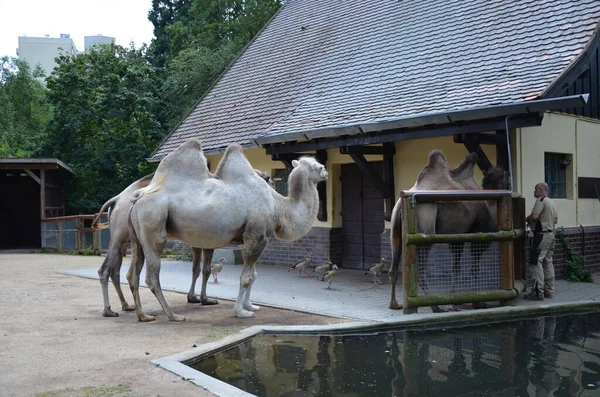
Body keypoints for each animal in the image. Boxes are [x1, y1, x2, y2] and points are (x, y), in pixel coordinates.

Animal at [126, 138, 328, 320]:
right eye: (314, 166)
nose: (325, 170)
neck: (278, 206)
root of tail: (138, 199)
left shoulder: (256, 237)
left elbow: (254, 275)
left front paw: (250, 305)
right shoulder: (255, 236)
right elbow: (246, 277)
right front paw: (241, 311)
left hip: (137, 236)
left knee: (132, 274)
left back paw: (143, 315)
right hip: (153, 226)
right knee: (152, 276)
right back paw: (172, 315)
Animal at [390, 150, 510, 310]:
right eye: (507, 179)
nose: (510, 185)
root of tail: (400, 205)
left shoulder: (457, 237)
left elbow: (456, 268)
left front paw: (455, 300)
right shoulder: (478, 234)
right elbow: (474, 269)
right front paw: (477, 301)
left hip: (395, 234)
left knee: (393, 268)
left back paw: (394, 304)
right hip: (425, 228)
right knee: (419, 270)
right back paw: (434, 306)